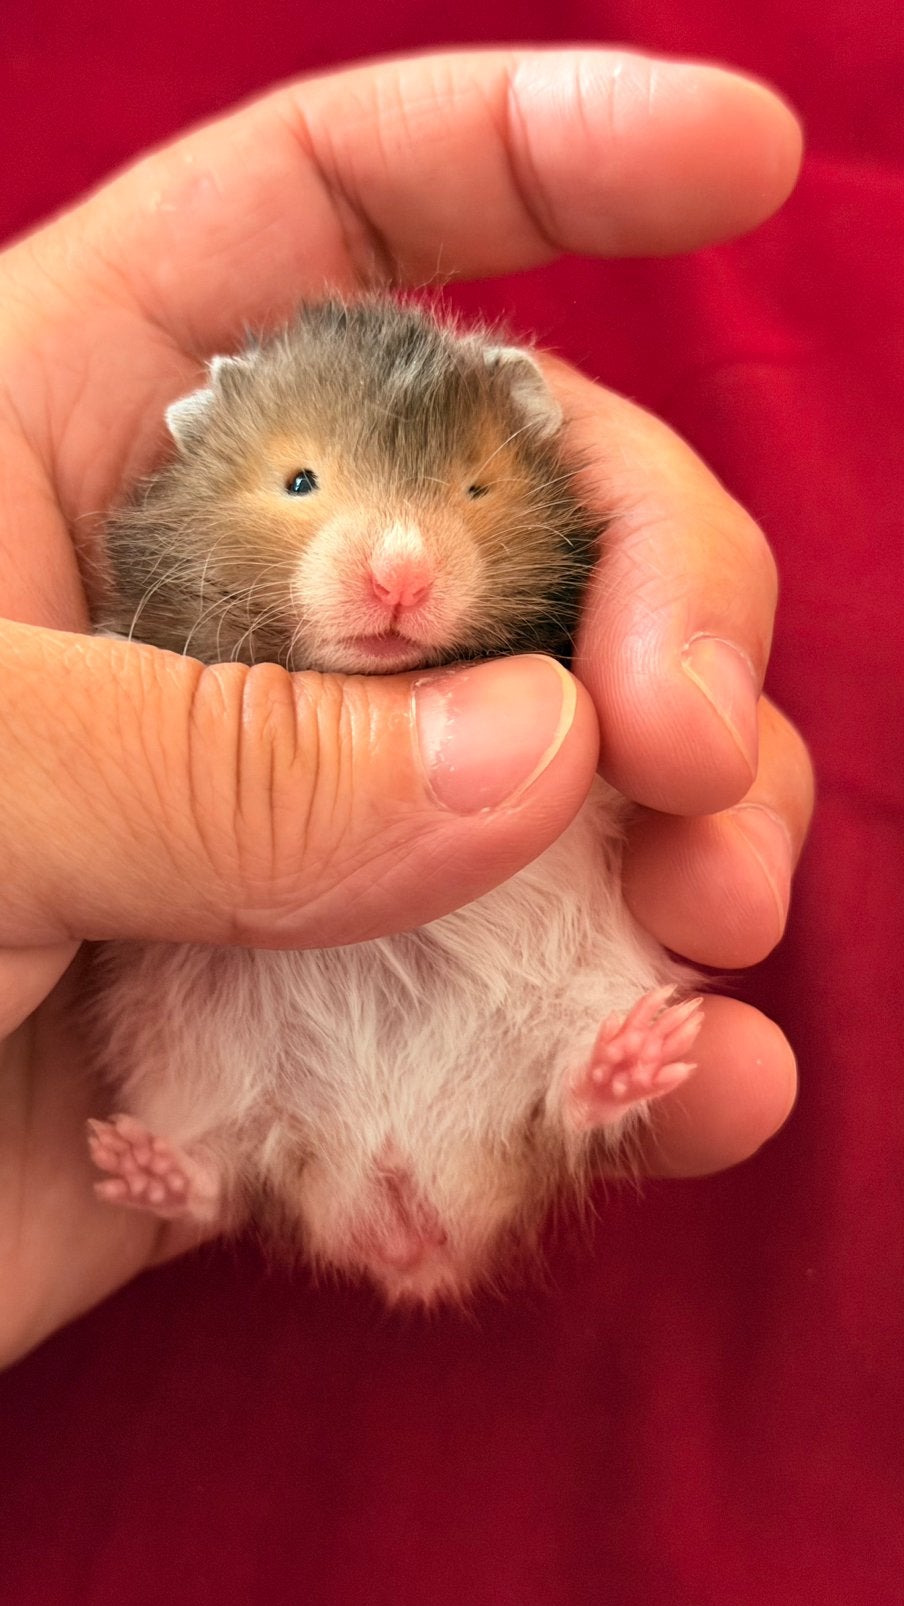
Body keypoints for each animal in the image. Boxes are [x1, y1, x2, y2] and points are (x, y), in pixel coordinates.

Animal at [87, 298, 701, 1307]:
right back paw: (137, 1164)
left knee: (564, 1109)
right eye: (299, 480)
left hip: (587, 987)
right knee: (223, 1171)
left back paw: (633, 1055)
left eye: (476, 489)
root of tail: (401, 1204)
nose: (399, 576)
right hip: (186, 1060)